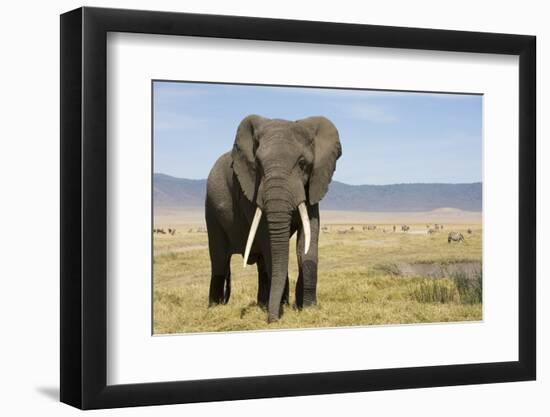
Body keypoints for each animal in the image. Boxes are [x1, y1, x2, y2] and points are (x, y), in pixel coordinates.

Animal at [206, 114, 340, 322]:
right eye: (259, 165)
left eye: (302, 164)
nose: (272, 320)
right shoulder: (250, 191)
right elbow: (268, 240)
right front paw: (283, 308)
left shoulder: (312, 185)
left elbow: (308, 239)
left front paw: (307, 308)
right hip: (211, 210)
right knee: (219, 259)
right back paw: (215, 308)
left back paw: (263, 303)